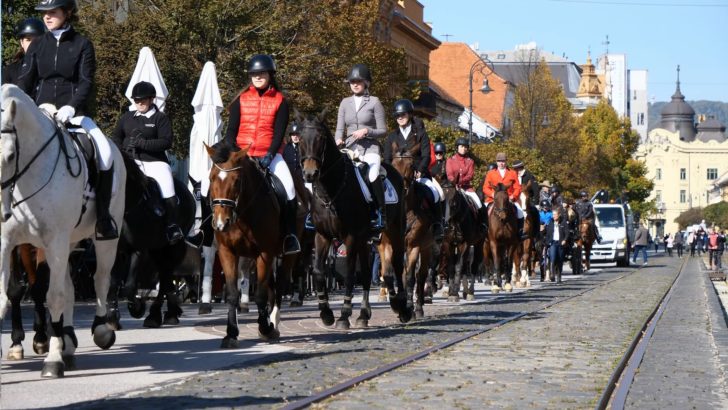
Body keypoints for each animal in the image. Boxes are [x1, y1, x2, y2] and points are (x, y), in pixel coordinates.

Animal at [0, 85, 126, 380]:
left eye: (10, 156)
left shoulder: (52, 241)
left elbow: (52, 297)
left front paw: (52, 359)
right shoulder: (8, 242)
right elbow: (5, 296)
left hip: (105, 240)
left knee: (100, 279)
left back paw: (100, 330)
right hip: (68, 243)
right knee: (70, 287)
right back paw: (67, 342)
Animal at [106, 154, 195, 330]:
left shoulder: (138, 249)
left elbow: (129, 287)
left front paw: (137, 307)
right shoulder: (116, 251)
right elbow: (113, 283)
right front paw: (112, 317)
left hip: (171, 247)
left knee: (166, 276)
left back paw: (159, 315)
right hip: (157, 248)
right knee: (165, 277)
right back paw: (166, 313)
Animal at [205, 143, 296, 348]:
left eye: (237, 181)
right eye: (211, 178)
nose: (221, 223)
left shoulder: (265, 252)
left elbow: (261, 294)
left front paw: (265, 327)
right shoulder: (227, 252)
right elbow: (232, 293)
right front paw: (231, 334)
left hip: (286, 255)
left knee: (280, 285)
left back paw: (274, 322)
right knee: (272, 285)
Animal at [298, 109, 410, 326]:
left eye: (321, 138)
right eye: (299, 138)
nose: (309, 173)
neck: (330, 191)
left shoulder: (350, 236)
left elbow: (350, 273)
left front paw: (344, 313)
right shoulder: (323, 236)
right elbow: (318, 272)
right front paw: (326, 313)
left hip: (394, 229)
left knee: (398, 264)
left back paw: (402, 307)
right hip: (366, 239)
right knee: (366, 273)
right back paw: (364, 314)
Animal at [390, 143, 436, 318]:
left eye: (411, 165)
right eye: (393, 164)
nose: (401, 188)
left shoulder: (413, 246)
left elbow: (410, 277)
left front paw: (410, 306)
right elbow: (401, 275)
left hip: (427, 247)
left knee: (421, 275)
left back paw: (419, 307)